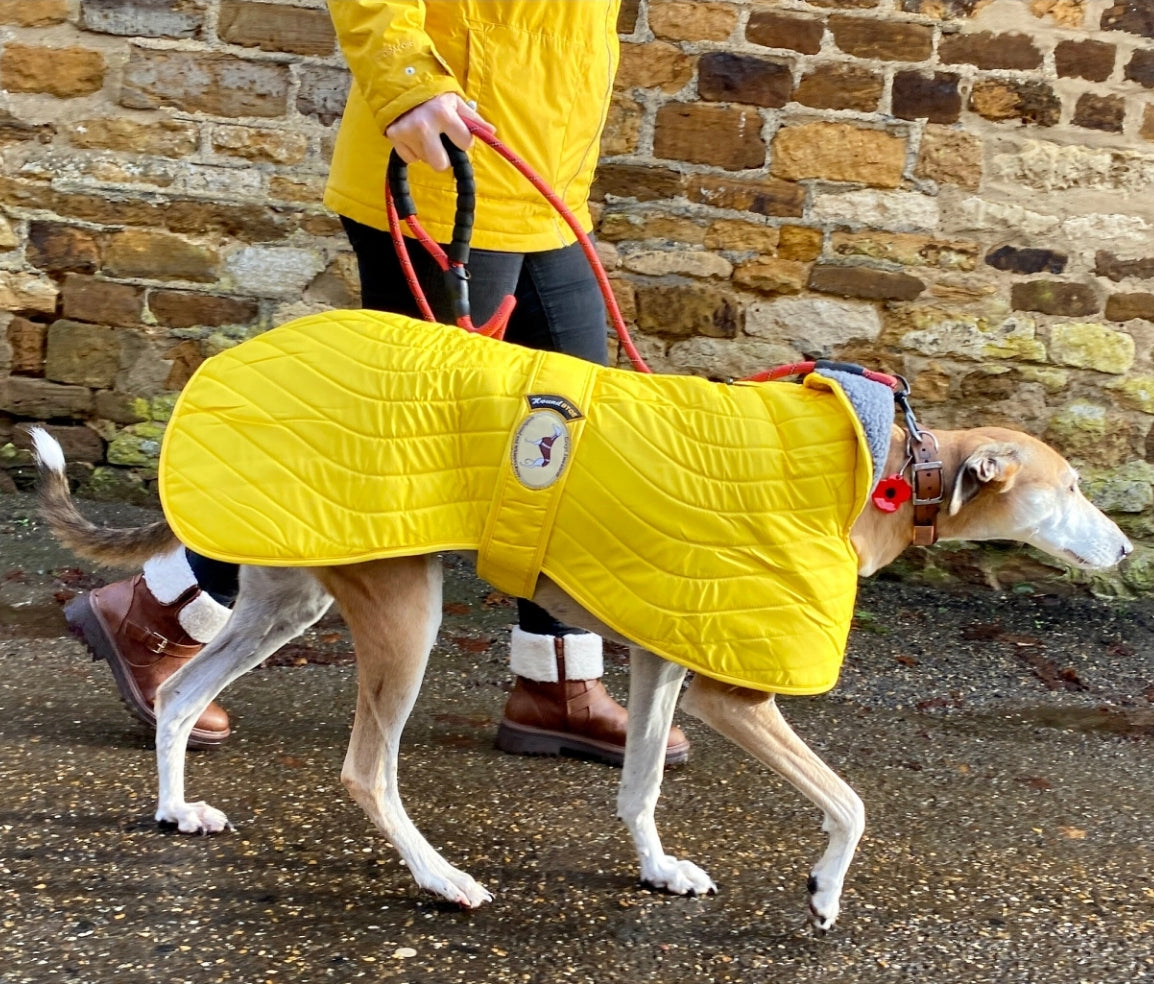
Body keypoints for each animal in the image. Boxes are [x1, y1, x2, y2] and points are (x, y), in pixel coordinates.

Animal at [29, 415, 1126, 927]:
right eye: (1070, 486)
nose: (1122, 549)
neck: (896, 471)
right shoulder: (733, 692)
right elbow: (852, 803)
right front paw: (821, 892)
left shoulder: (660, 666)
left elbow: (638, 786)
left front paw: (657, 870)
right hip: (406, 615)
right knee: (364, 772)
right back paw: (441, 879)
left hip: (288, 602)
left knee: (181, 693)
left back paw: (175, 807)